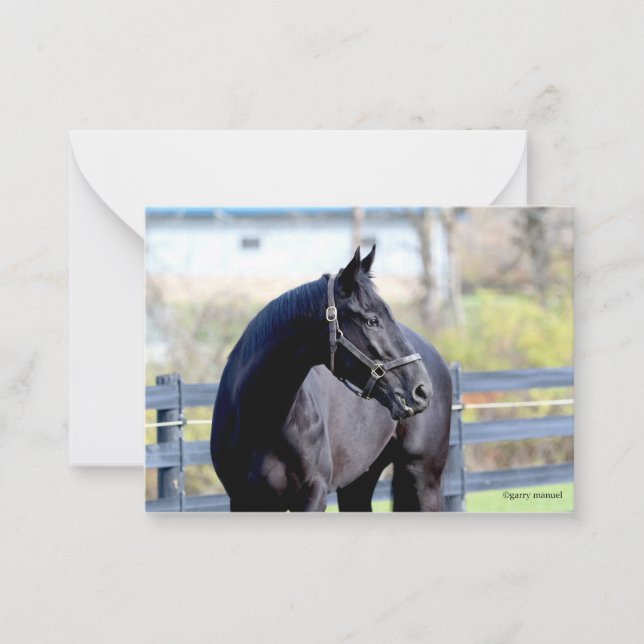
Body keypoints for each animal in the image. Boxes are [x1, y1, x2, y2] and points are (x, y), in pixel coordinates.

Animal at [210, 246, 452, 511]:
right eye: (372, 320)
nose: (421, 390)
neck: (264, 421)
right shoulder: (243, 500)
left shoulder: (313, 493)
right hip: (359, 482)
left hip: (423, 476)